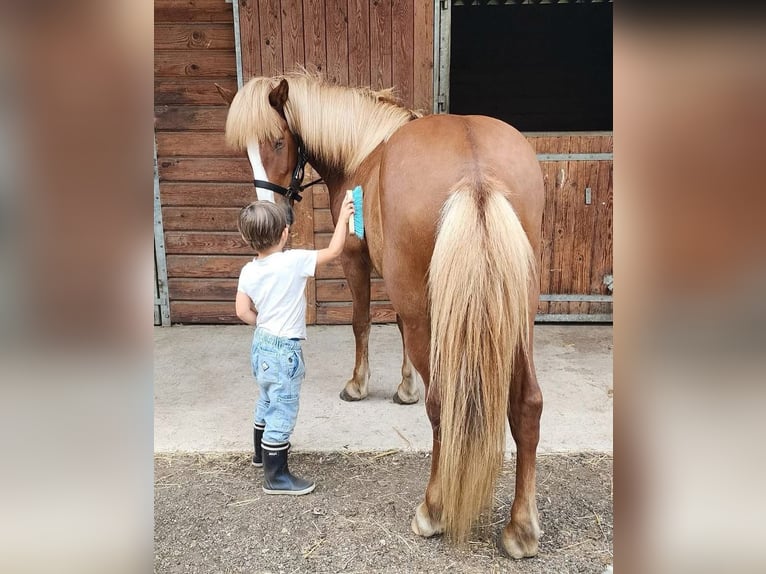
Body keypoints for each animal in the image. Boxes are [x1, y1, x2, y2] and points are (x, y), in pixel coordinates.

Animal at [223, 72, 544, 558]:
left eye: (278, 141)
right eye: (246, 150)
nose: (274, 215)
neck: (363, 151)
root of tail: (476, 170)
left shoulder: (355, 259)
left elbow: (361, 323)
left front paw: (358, 385)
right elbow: (393, 327)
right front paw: (404, 388)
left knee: (443, 406)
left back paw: (432, 511)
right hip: (517, 320)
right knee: (527, 403)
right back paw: (521, 529)